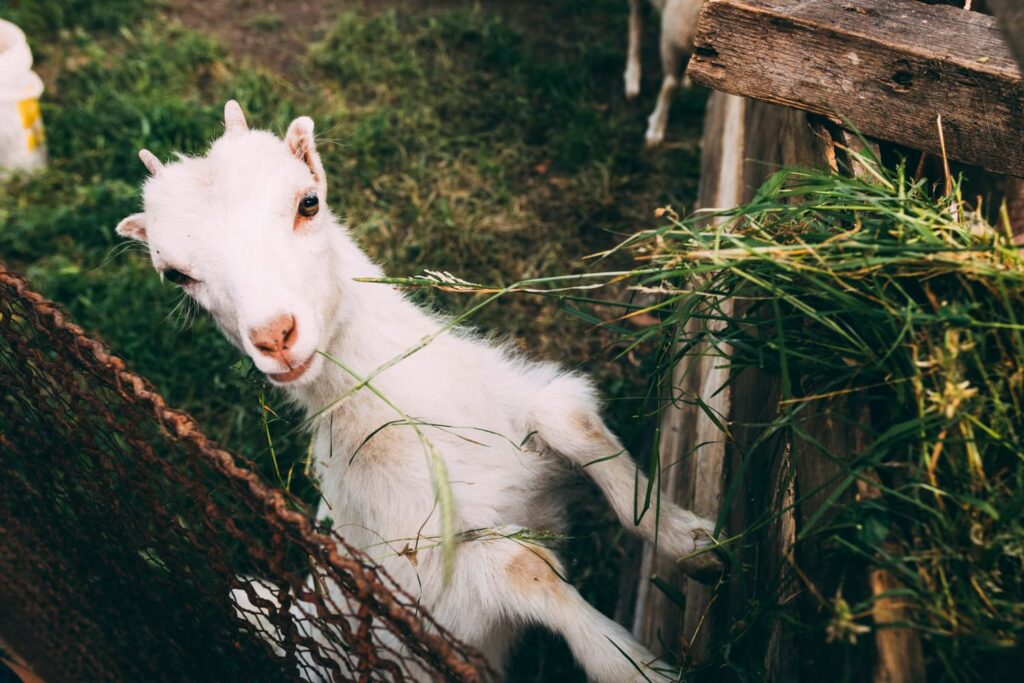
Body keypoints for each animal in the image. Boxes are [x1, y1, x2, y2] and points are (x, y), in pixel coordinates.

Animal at [116, 101, 722, 681]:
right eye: (175, 275)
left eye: (308, 203)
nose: (275, 336)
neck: (413, 421)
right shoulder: (435, 582)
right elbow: (524, 568)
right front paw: (642, 670)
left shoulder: (514, 405)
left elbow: (569, 419)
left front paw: (697, 544)